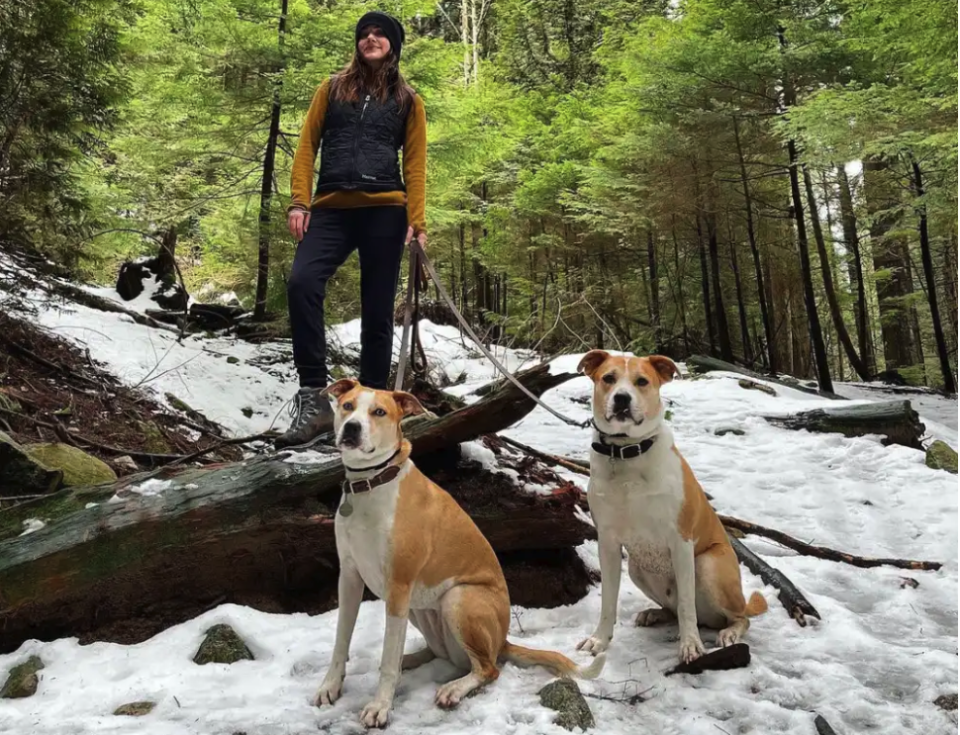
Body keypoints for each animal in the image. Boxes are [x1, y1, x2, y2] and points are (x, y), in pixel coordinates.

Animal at [316, 382, 604, 728]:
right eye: (347, 406)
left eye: (379, 412)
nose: (352, 428)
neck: (371, 483)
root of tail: (503, 640)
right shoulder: (349, 577)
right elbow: (340, 640)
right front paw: (330, 686)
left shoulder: (398, 585)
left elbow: (387, 659)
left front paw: (380, 706)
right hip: (419, 609)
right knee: (445, 655)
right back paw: (411, 659)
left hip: (458, 598)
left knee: (487, 668)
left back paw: (453, 687)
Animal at [572, 354, 768, 664]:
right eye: (608, 378)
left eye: (642, 381)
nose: (622, 398)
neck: (626, 452)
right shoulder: (608, 542)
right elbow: (607, 601)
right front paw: (599, 640)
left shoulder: (681, 542)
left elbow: (687, 605)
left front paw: (691, 646)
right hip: (638, 569)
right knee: (674, 610)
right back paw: (655, 613)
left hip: (709, 565)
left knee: (737, 617)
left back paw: (729, 633)